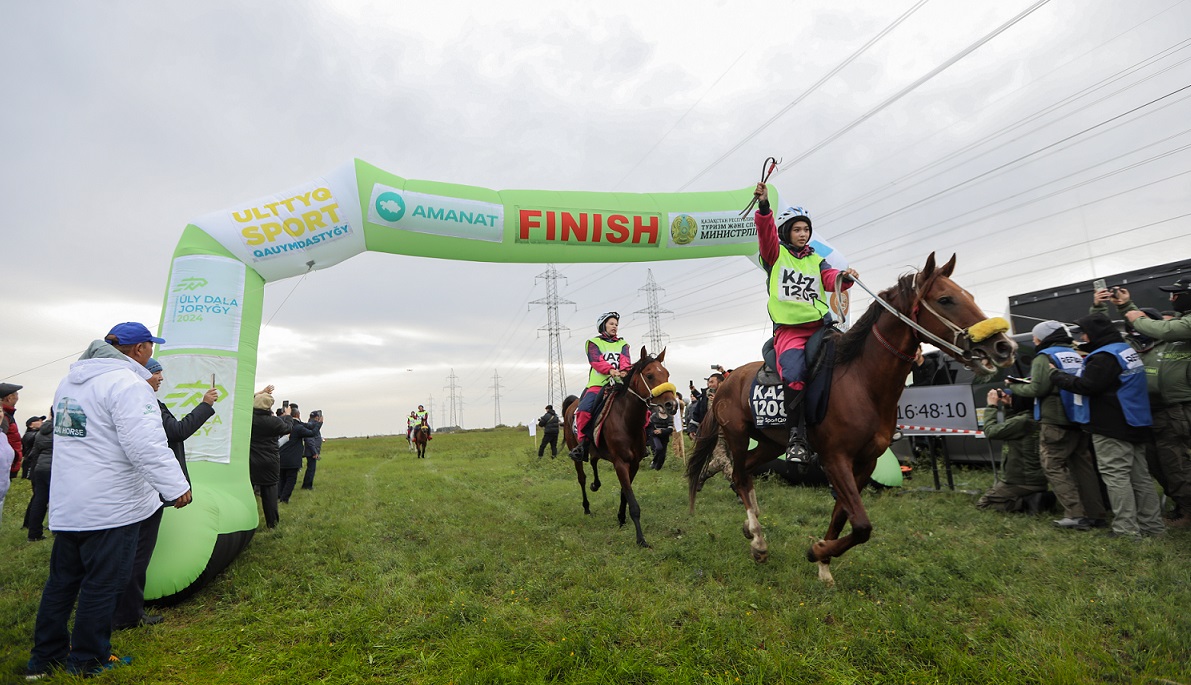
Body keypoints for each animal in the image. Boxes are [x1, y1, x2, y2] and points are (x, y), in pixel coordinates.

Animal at [559, 347, 676, 548]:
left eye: (667, 374)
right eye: (650, 375)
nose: (672, 405)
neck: (627, 420)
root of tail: (572, 403)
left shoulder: (634, 463)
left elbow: (624, 493)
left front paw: (621, 518)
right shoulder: (620, 462)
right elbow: (632, 502)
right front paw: (641, 539)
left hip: (596, 450)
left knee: (594, 462)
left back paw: (596, 484)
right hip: (576, 452)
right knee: (581, 478)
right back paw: (587, 508)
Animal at [690, 254, 1014, 586]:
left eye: (970, 295)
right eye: (945, 299)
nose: (1002, 346)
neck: (861, 381)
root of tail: (726, 382)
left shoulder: (865, 463)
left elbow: (842, 516)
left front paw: (823, 564)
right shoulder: (836, 459)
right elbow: (861, 525)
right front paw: (816, 551)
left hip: (770, 443)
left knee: (743, 473)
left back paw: (751, 525)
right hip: (738, 435)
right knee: (740, 475)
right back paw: (757, 540)